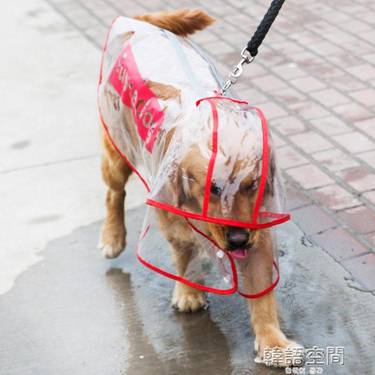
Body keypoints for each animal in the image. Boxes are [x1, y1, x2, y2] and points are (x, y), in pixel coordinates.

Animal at [98, 8, 304, 368]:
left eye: (252, 185)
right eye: (213, 188)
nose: (238, 239)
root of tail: (138, 21)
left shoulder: (259, 231)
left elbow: (262, 293)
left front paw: (272, 342)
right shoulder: (172, 218)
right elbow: (185, 258)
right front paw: (189, 292)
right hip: (117, 149)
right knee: (114, 193)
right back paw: (112, 237)